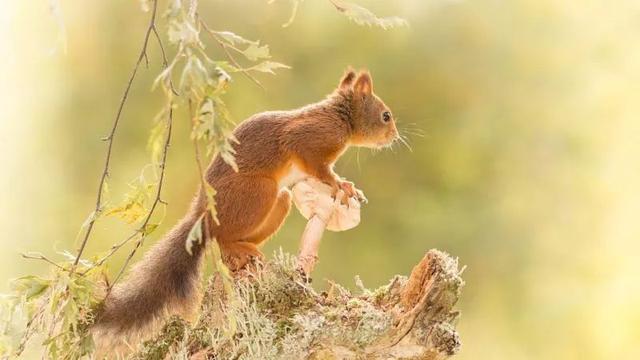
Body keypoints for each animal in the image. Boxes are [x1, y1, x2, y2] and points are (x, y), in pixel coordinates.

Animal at [94, 68, 396, 338]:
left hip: (278, 201)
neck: (340, 117)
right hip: (258, 193)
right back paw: (241, 249)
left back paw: (249, 250)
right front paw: (340, 184)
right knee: (221, 236)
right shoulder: (308, 138)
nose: (394, 137)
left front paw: (348, 186)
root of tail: (202, 215)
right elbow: (318, 166)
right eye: (386, 115)